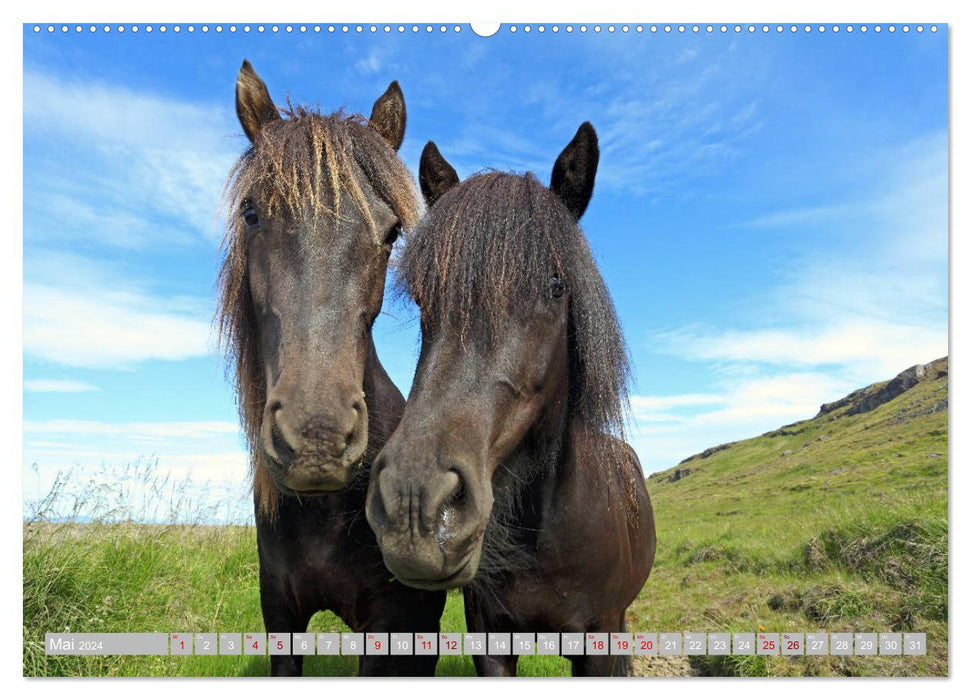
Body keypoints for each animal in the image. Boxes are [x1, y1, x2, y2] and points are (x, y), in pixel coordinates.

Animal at [366, 123, 660, 676]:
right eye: (423, 299)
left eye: (556, 286)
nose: (414, 503)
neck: (544, 536)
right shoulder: (490, 640)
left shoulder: (600, 643)